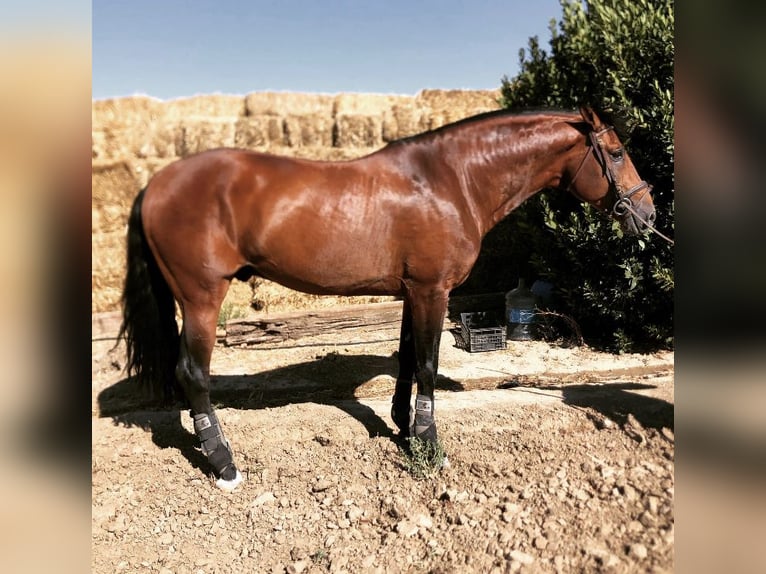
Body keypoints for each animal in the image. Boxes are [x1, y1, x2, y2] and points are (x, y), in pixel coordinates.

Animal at [118, 107, 656, 490]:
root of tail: (155, 184)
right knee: (193, 373)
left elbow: (406, 359)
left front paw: (402, 426)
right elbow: (428, 365)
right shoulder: (433, 291)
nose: (647, 213)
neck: (451, 179)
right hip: (202, 299)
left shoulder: (412, 291)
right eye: (616, 151)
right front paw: (428, 444)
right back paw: (224, 463)